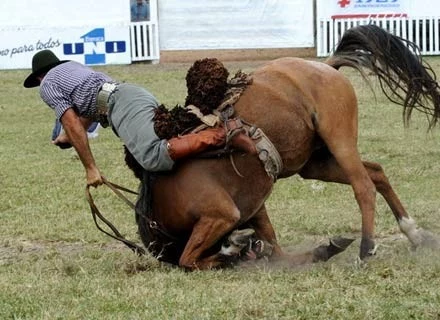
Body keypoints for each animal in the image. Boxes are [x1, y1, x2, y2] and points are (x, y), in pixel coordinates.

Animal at [131, 25, 440, 270]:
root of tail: (327, 66)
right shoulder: (254, 207)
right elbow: (278, 251)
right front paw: (320, 250)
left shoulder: (222, 213)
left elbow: (189, 259)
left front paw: (233, 251)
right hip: (317, 163)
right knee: (376, 173)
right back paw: (412, 233)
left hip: (339, 141)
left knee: (364, 186)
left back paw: (366, 249)